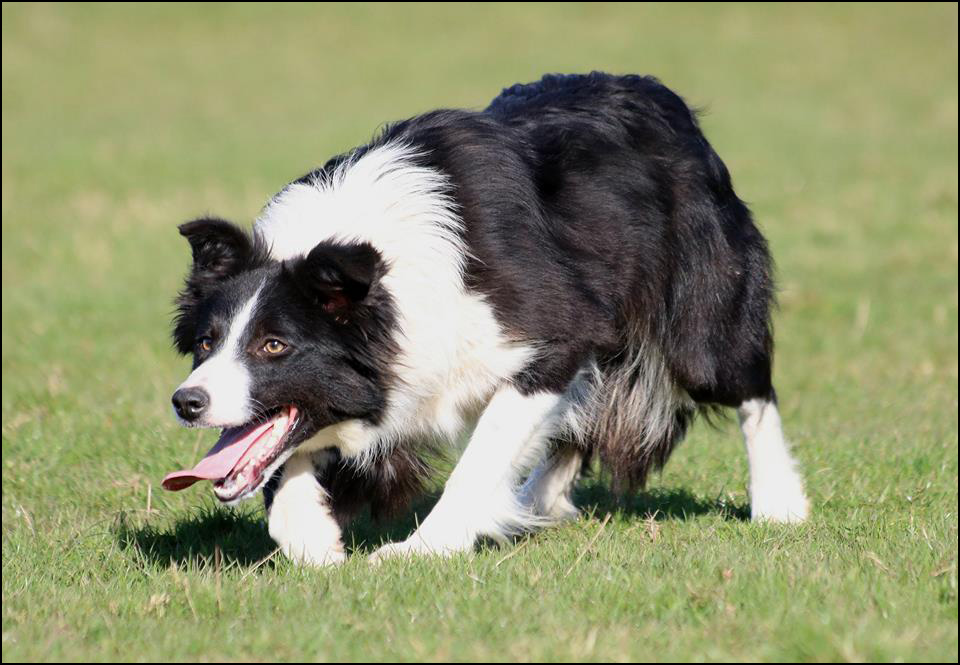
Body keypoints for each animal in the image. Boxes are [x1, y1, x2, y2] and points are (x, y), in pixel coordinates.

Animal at [161, 74, 808, 564]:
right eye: (207, 342)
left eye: (274, 345)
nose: (186, 402)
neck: (377, 265)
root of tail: (659, 95)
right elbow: (289, 457)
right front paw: (310, 537)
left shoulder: (554, 333)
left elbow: (480, 459)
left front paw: (422, 550)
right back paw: (537, 501)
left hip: (701, 305)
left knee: (746, 387)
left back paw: (779, 502)